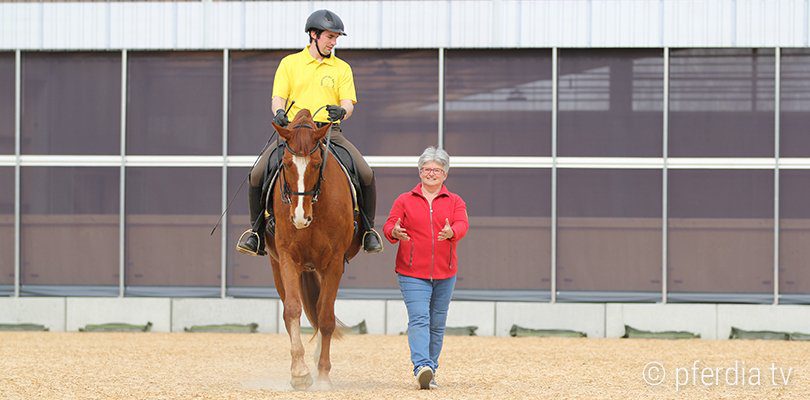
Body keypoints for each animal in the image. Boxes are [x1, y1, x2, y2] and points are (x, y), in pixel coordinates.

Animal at [266, 110, 358, 390]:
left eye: (317, 164)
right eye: (286, 163)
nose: (299, 217)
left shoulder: (334, 263)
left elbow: (326, 317)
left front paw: (324, 375)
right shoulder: (287, 259)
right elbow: (292, 310)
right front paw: (299, 373)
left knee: (320, 311)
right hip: (279, 266)